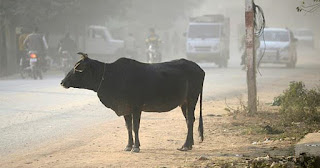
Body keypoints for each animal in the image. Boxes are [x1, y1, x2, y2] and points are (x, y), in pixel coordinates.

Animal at [60, 52, 205, 152]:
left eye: (77, 68)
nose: (62, 82)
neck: (109, 76)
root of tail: (200, 69)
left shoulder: (136, 107)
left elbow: (135, 127)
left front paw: (136, 147)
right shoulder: (126, 109)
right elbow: (128, 127)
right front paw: (129, 145)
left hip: (192, 99)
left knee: (190, 120)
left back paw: (186, 145)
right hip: (184, 103)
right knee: (190, 119)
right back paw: (189, 144)